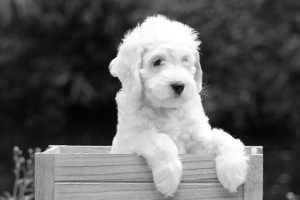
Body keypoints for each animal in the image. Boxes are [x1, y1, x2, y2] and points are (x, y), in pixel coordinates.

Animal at [109, 15, 247, 197]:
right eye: (157, 61)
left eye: (185, 60)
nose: (179, 86)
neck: (167, 110)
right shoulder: (133, 138)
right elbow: (160, 140)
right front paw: (169, 178)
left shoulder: (197, 142)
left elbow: (222, 137)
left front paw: (234, 169)